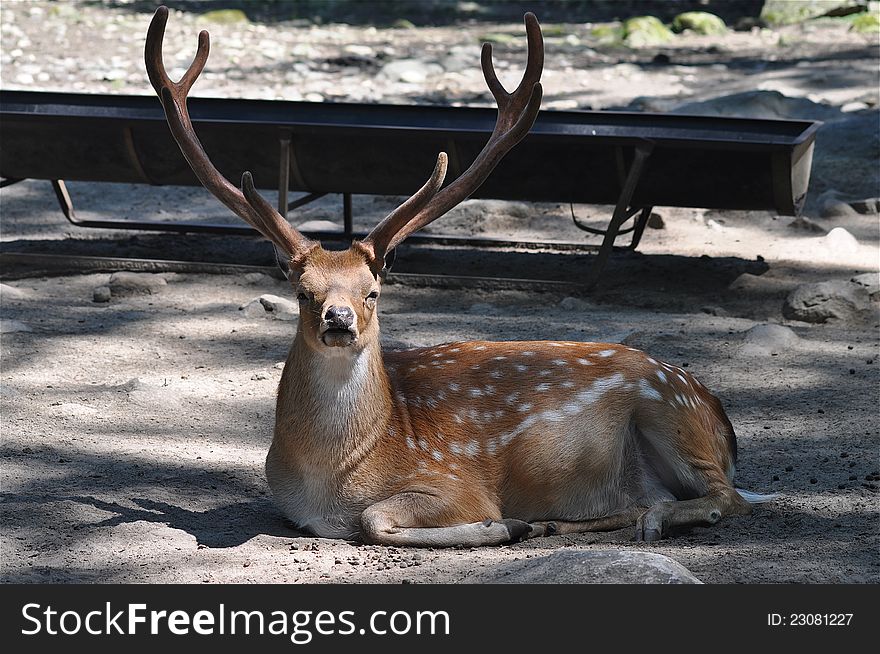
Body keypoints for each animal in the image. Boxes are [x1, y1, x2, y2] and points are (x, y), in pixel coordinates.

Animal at [146, 6, 776, 548]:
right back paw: (582, 520)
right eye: (304, 293)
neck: (333, 479)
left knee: (730, 498)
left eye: (373, 291)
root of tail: (722, 419)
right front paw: (522, 525)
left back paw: (638, 520)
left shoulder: (456, 484)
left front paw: (504, 525)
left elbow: (377, 520)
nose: (339, 320)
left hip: (669, 410)